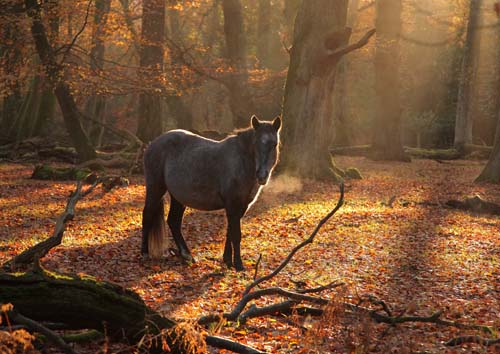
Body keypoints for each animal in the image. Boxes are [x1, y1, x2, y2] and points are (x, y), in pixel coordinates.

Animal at [141, 115, 282, 270]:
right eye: (256, 144)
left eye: (274, 144)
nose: (262, 175)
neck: (241, 162)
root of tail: (152, 144)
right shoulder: (232, 205)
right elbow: (236, 234)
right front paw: (238, 265)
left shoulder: (241, 206)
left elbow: (230, 232)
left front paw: (227, 260)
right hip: (155, 188)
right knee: (147, 215)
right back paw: (144, 253)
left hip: (178, 198)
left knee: (174, 221)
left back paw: (187, 255)